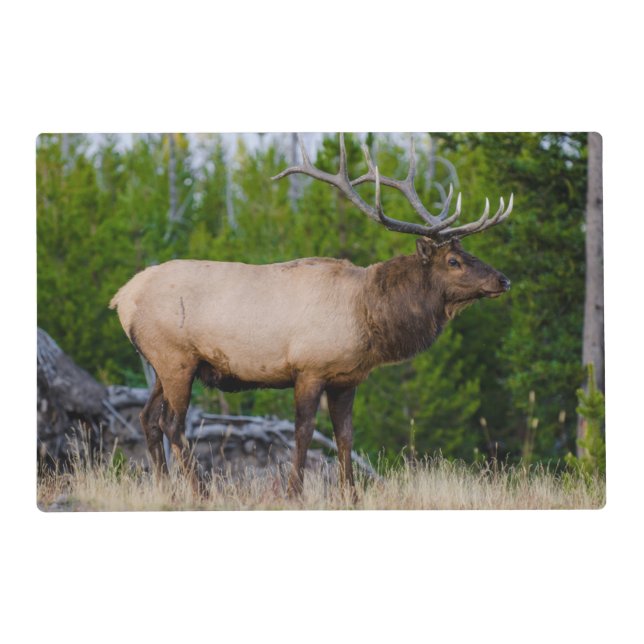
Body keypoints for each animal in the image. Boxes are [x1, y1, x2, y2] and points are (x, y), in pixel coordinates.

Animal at [109, 133, 512, 497]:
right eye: (454, 260)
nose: (503, 279)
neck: (369, 315)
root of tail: (121, 298)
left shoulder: (346, 378)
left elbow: (344, 436)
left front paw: (351, 495)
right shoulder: (308, 368)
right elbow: (303, 432)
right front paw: (294, 493)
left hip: (163, 362)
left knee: (148, 419)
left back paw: (166, 490)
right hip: (176, 357)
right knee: (172, 423)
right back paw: (200, 492)